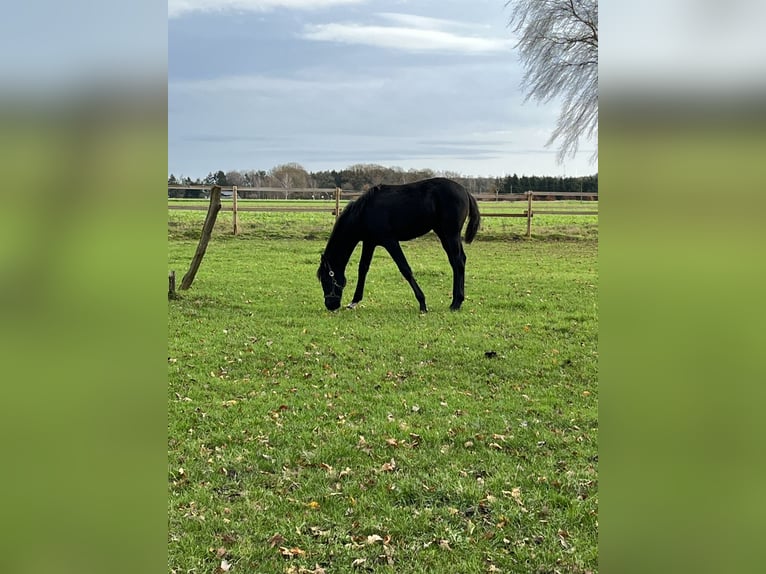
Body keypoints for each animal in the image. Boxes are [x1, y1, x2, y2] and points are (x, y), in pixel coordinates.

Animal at [316, 180, 480, 316]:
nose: (330, 305)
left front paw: (422, 303)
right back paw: (456, 301)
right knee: (457, 261)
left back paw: (456, 303)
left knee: (458, 261)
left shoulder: (390, 241)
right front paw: (354, 301)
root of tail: (465, 191)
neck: (364, 212)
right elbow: (363, 268)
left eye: (325, 279)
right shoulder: (370, 242)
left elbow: (405, 269)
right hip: (444, 234)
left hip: (450, 234)